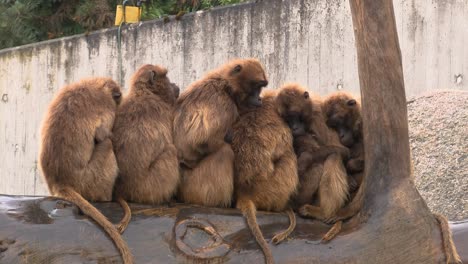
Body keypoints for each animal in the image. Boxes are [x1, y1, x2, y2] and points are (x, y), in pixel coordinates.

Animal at [38, 78, 133, 264]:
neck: (96, 85)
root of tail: (59, 181)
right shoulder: (107, 108)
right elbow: (102, 135)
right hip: (89, 180)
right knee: (106, 144)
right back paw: (107, 197)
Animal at [111, 64, 181, 233]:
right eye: (167, 77)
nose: (175, 84)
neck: (144, 92)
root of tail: (123, 189)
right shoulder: (164, 110)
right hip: (148, 188)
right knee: (170, 151)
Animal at [172, 57, 266, 208]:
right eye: (256, 87)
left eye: (261, 88)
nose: (259, 98)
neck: (225, 86)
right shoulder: (223, 102)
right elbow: (200, 141)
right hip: (193, 188)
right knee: (224, 151)